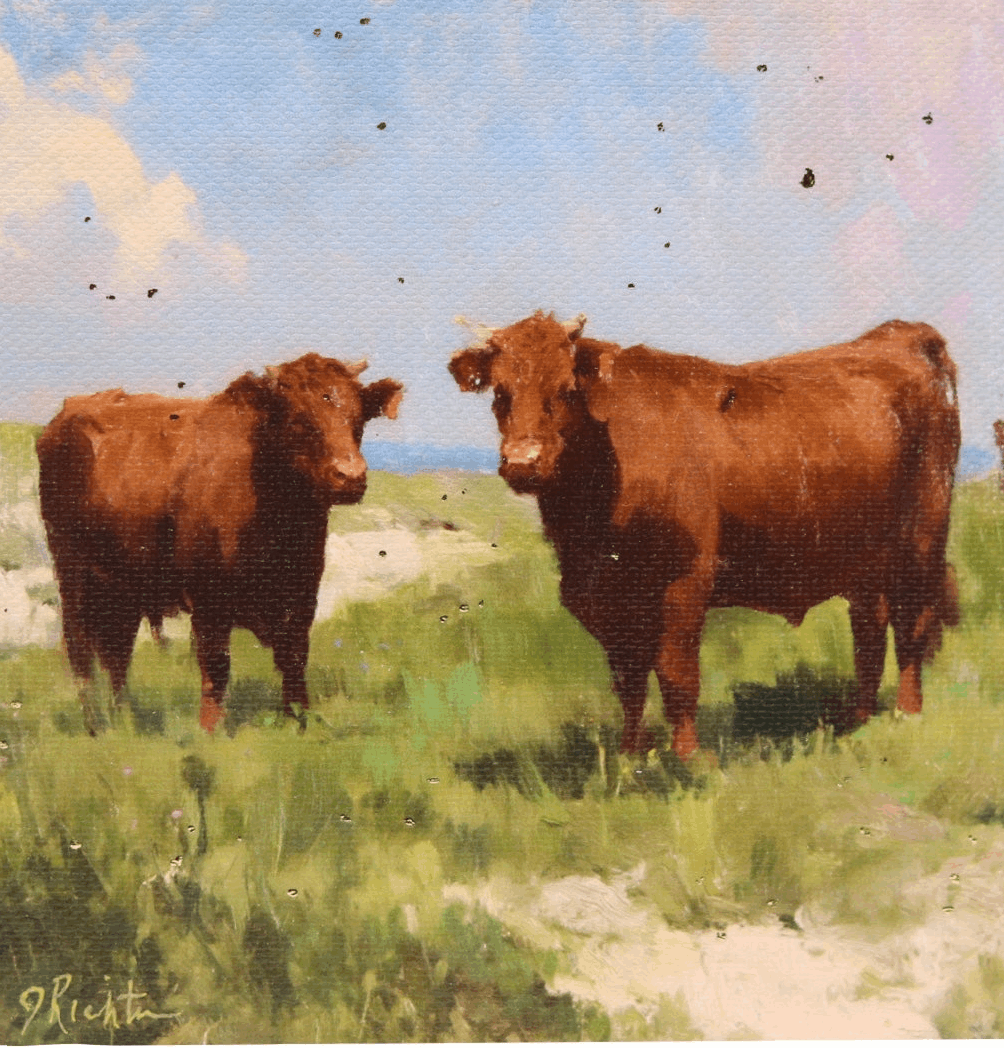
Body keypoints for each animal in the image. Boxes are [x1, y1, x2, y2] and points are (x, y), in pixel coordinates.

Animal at [38, 353, 403, 734]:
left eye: (359, 416)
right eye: (298, 418)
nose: (350, 476)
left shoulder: (302, 596)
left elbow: (293, 659)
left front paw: (299, 719)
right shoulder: (209, 601)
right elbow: (216, 665)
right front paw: (212, 730)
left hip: (123, 587)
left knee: (116, 651)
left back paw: (126, 717)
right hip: (73, 574)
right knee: (80, 648)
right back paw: (95, 724)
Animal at [449, 311, 960, 760]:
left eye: (567, 389)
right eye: (500, 391)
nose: (523, 462)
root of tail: (900, 334)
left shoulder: (684, 585)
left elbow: (677, 675)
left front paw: (689, 759)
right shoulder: (607, 600)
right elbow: (628, 680)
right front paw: (629, 757)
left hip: (921, 544)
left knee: (910, 625)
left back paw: (907, 714)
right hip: (865, 563)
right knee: (869, 630)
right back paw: (859, 719)